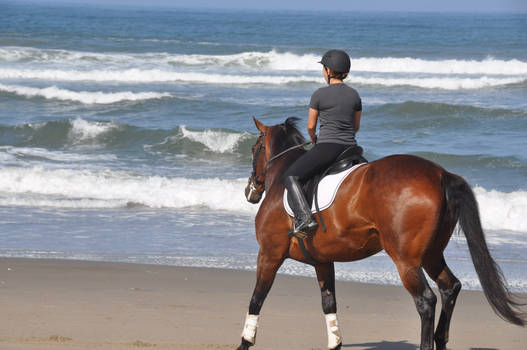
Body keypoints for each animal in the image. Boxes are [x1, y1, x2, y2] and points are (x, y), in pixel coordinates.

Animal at [237, 117, 524, 350]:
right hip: (432, 254)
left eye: (254, 149)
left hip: (406, 260)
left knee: (426, 300)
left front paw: (245, 342)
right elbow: (329, 304)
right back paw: (440, 339)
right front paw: (335, 343)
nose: (250, 191)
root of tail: (441, 173)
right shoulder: (323, 262)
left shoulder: (269, 254)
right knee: (450, 287)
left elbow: (256, 299)